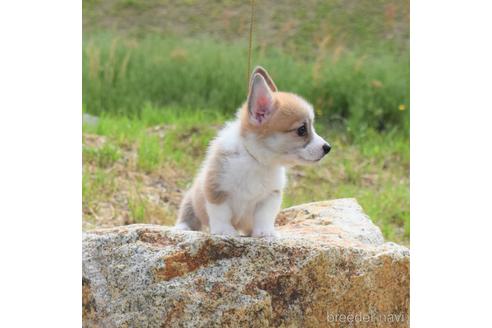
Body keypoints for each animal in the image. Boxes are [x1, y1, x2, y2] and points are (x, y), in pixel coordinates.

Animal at [175, 66, 332, 237]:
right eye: (302, 130)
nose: (328, 148)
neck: (256, 160)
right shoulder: (216, 188)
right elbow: (221, 213)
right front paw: (224, 231)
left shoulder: (270, 196)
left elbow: (264, 216)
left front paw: (265, 233)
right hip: (191, 198)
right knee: (188, 213)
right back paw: (182, 227)